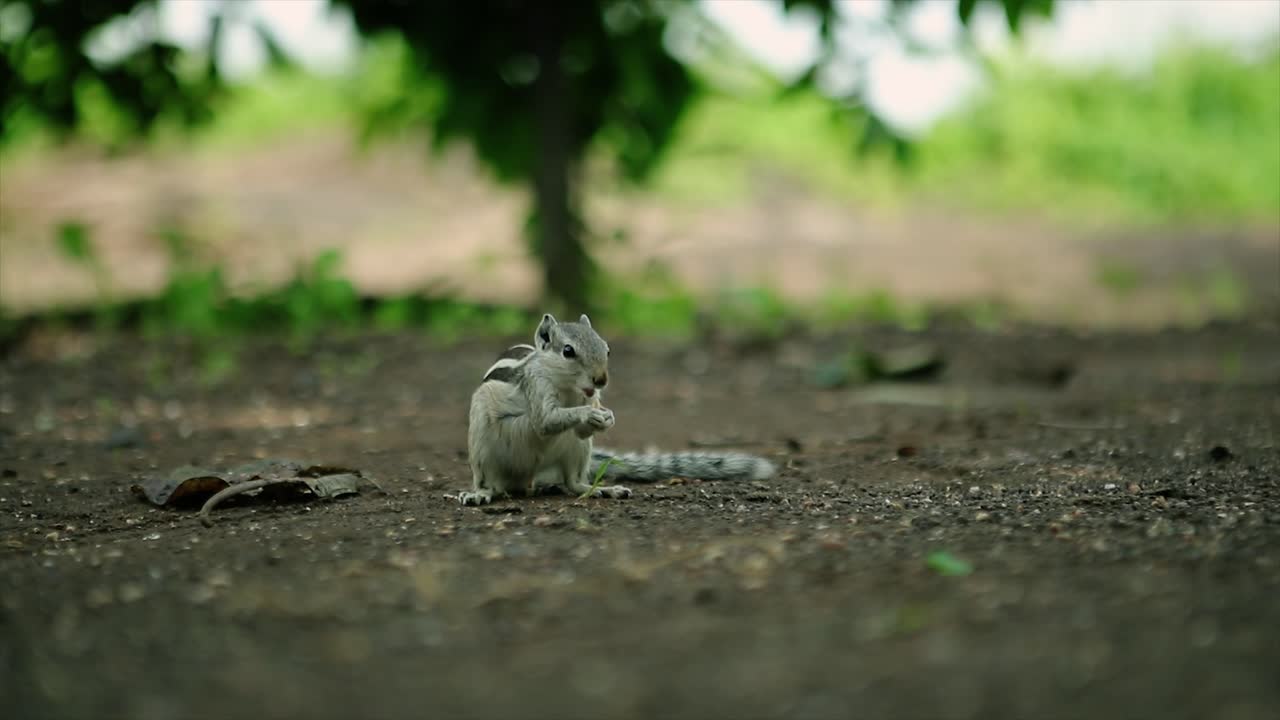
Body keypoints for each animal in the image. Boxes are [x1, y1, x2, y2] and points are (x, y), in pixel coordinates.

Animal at [457, 312, 776, 506]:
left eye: (607, 348)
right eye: (568, 351)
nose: (601, 380)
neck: (568, 389)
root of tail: (523, 478)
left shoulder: (588, 401)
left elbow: (582, 428)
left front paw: (606, 418)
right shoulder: (536, 388)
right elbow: (545, 421)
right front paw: (589, 415)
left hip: (575, 452)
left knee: (573, 483)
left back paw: (601, 489)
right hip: (483, 451)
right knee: (490, 483)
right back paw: (479, 494)